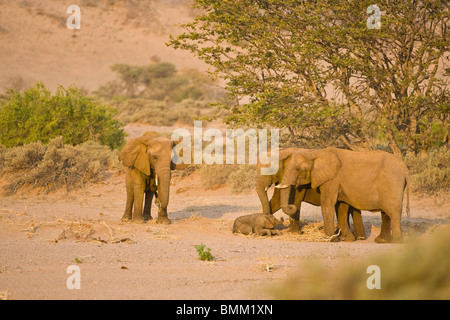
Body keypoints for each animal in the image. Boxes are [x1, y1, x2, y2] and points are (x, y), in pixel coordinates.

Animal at [276, 148, 410, 242]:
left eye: (299, 169)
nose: (292, 206)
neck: (316, 152)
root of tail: (405, 168)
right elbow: (341, 207)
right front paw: (347, 239)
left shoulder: (332, 180)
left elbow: (327, 204)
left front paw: (331, 239)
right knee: (386, 213)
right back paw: (381, 241)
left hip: (392, 183)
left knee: (393, 211)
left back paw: (396, 242)